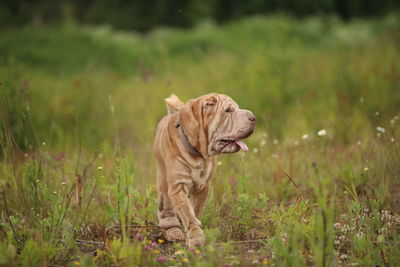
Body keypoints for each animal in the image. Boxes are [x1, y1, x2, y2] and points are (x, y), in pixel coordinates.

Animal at [153, 93, 256, 247]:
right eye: (228, 110)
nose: (253, 117)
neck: (196, 152)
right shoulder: (178, 186)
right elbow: (187, 213)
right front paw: (196, 236)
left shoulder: (203, 186)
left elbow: (194, 210)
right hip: (163, 181)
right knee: (167, 208)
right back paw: (173, 230)